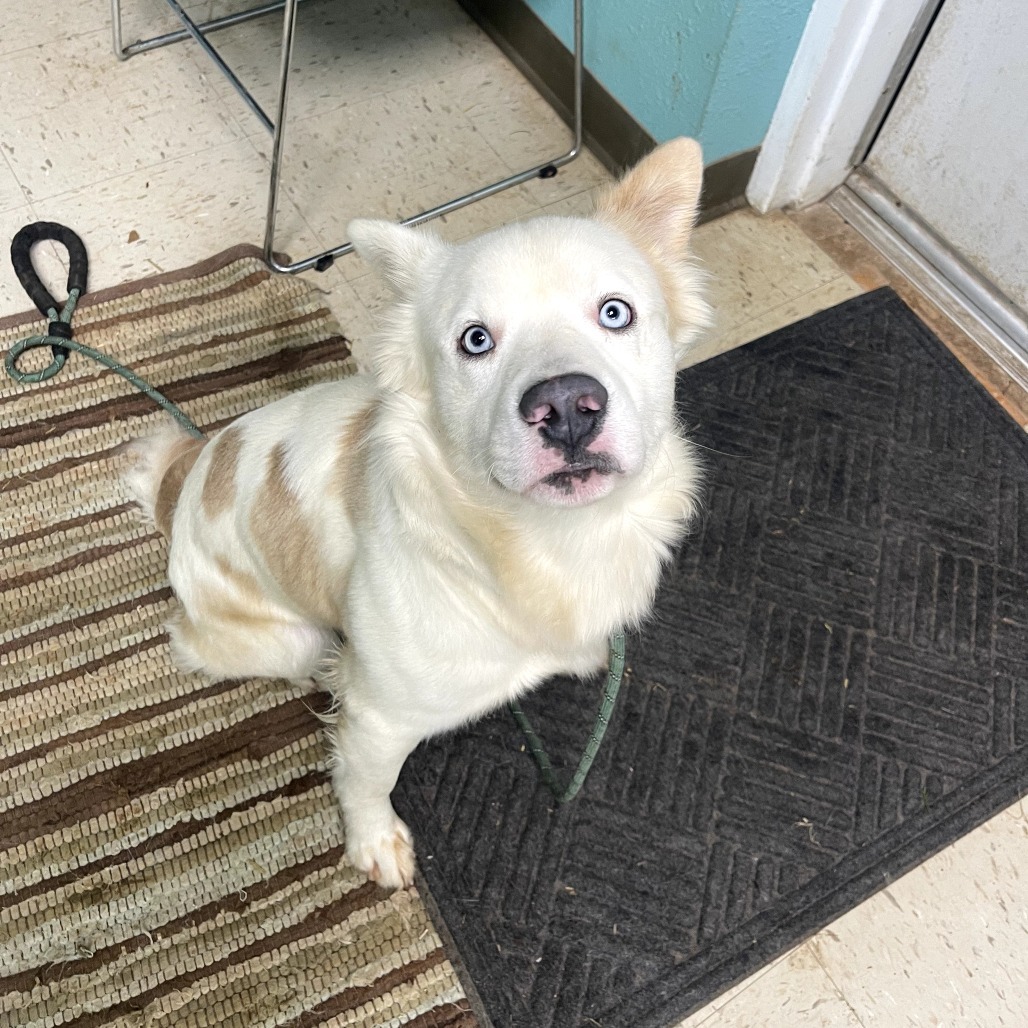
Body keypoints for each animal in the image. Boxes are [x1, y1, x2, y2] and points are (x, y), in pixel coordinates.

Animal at [124, 138, 711, 892]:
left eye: (616, 313)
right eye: (475, 340)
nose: (567, 407)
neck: (538, 545)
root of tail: (187, 478)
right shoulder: (380, 719)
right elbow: (366, 780)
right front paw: (374, 844)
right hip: (284, 638)